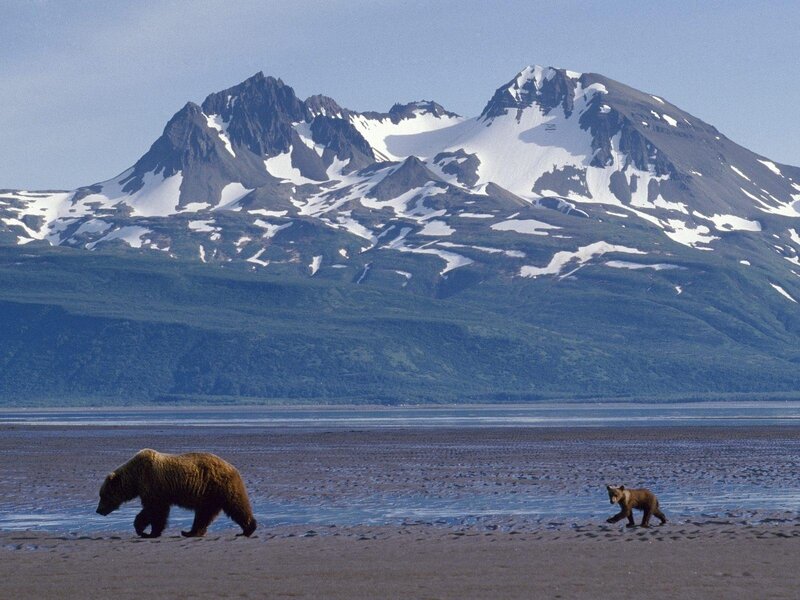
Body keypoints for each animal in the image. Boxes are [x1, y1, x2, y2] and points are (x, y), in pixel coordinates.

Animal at [96, 449, 257, 538]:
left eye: (103, 495)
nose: (98, 510)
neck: (135, 478)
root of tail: (232, 467)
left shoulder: (153, 485)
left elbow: (155, 510)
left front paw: (148, 532)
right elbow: (152, 510)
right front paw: (143, 530)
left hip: (220, 486)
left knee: (236, 505)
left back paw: (248, 529)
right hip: (209, 495)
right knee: (204, 514)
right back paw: (190, 532)